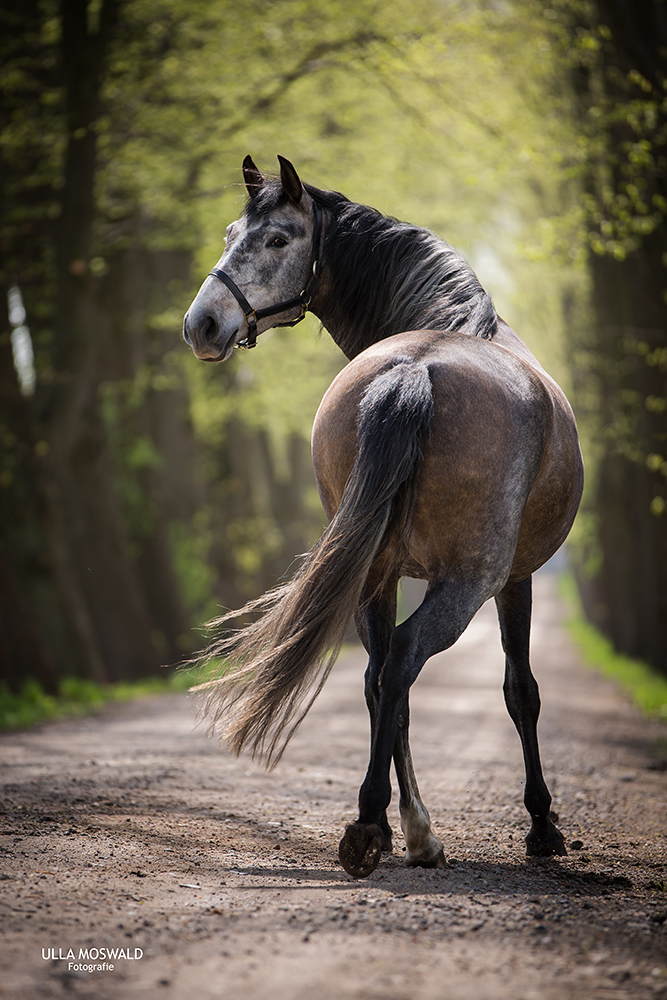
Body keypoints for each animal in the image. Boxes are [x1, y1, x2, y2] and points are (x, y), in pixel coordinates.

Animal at [183, 152, 584, 880]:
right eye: (230, 232)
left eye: (277, 239)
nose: (202, 324)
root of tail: (413, 371)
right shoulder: (515, 579)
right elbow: (521, 690)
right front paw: (541, 824)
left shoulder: (394, 569)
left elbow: (388, 690)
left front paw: (415, 827)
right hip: (467, 582)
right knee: (402, 661)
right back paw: (374, 823)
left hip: (375, 571)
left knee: (381, 677)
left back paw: (398, 825)